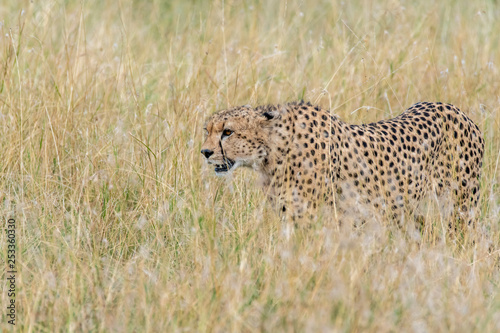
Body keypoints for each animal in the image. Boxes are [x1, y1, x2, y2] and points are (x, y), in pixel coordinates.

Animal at [200, 101, 484, 226]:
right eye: (208, 130)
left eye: (228, 132)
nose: (205, 152)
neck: (273, 151)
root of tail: (455, 109)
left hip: (461, 206)